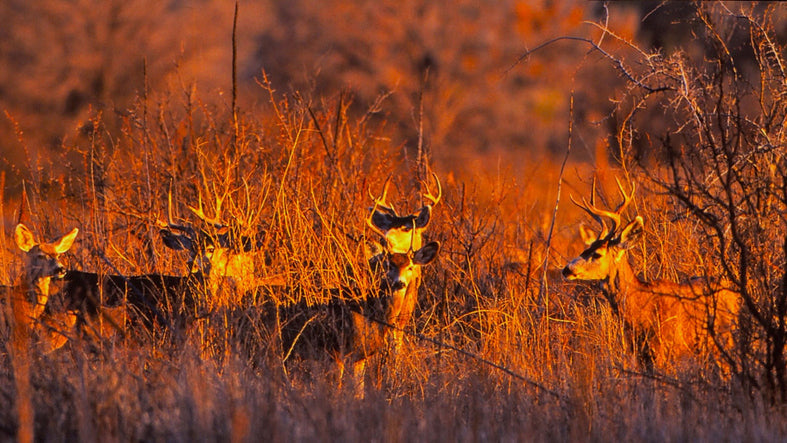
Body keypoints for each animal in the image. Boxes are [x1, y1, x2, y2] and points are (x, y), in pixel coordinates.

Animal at [561, 178, 739, 371]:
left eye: (597, 254)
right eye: (584, 249)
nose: (566, 269)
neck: (641, 308)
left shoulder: (664, 349)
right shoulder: (640, 353)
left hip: (724, 339)